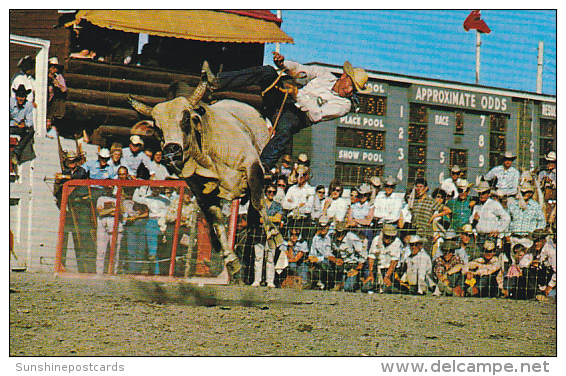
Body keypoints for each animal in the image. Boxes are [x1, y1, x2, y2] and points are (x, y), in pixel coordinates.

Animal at [131, 78, 286, 282]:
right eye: (157, 127)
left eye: (185, 118)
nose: (172, 149)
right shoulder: (202, 193)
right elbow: (217, 222)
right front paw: (231, 261)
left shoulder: (252, 165)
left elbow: (258, 201)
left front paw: (274, 234)